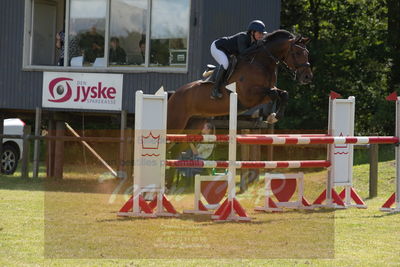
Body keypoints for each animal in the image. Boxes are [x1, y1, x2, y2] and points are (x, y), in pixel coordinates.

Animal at [166, 29, 312, 133]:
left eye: (307, 53)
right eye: (298, 53)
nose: (308, 77)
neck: (261, 63)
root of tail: (174, 94)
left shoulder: (266, 91)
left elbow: (283, 94)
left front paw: (274, 116)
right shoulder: (248, 96)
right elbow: (274, 94)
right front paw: (269, 115)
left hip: (193, 124)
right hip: (175, 123)